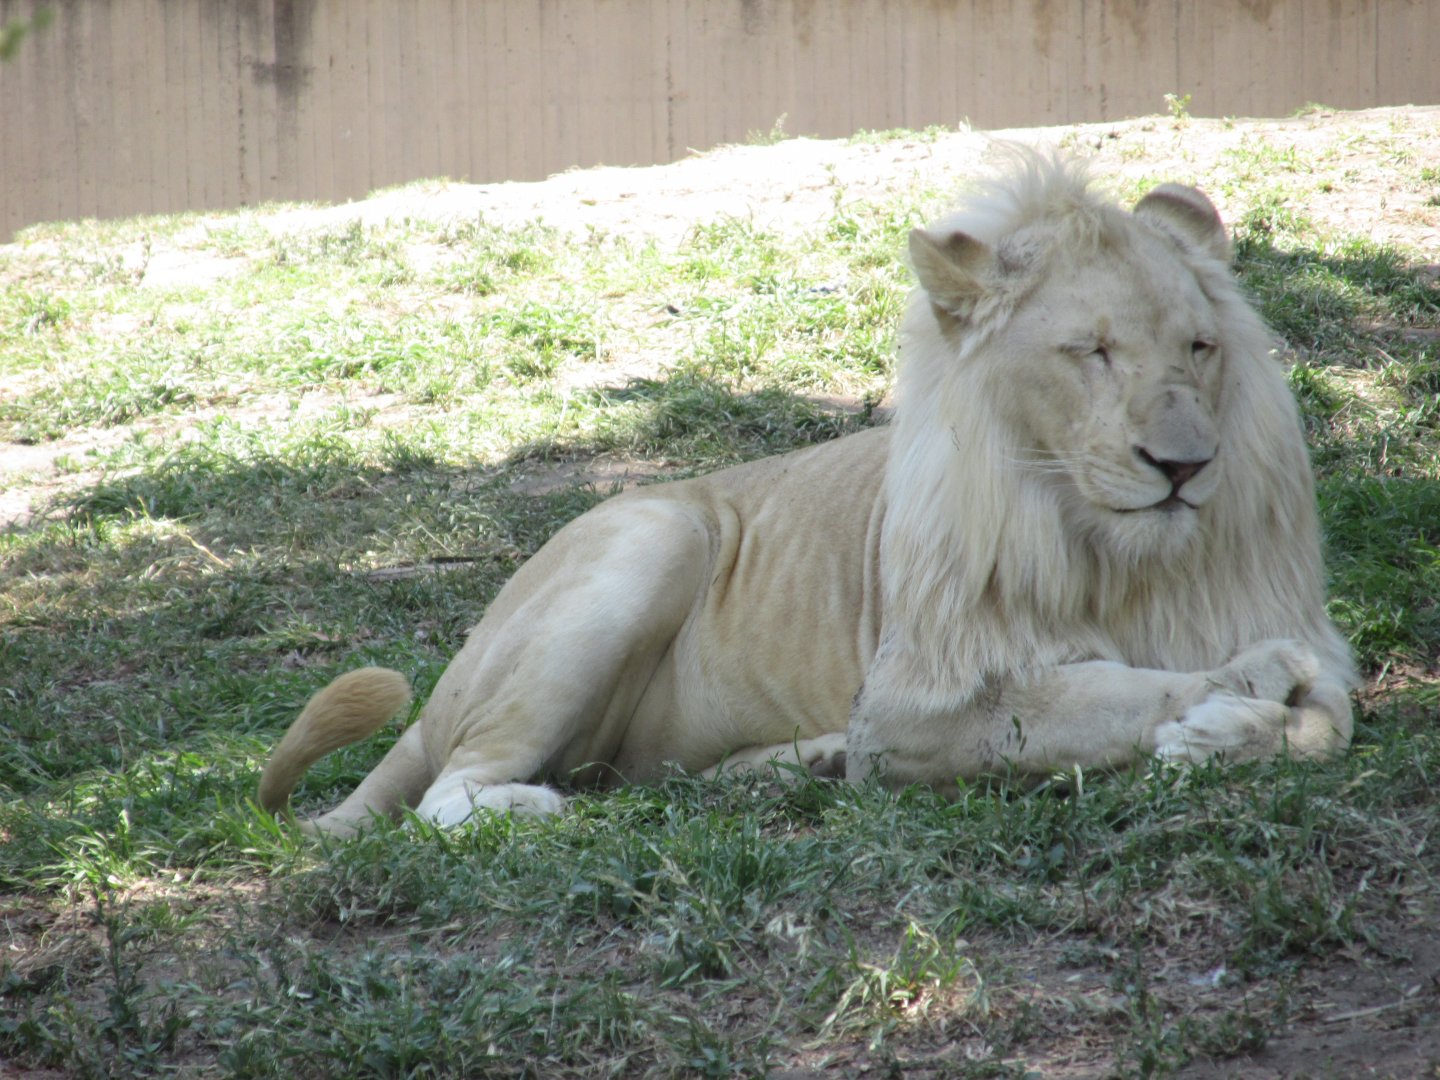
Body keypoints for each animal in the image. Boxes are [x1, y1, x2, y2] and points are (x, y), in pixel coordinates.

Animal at [258, 152, 1356, 837]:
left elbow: (1333, 715)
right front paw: (1234, 696)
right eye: (1091, 352)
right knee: (450, 791)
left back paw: (808, 765)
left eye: (1199, 348)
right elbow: (1114, 690)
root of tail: (450, 677)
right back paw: (531, 810)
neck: (1122, 559)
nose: (1185, 466)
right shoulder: (920, 702)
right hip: (648, 538)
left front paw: (1247, 723)